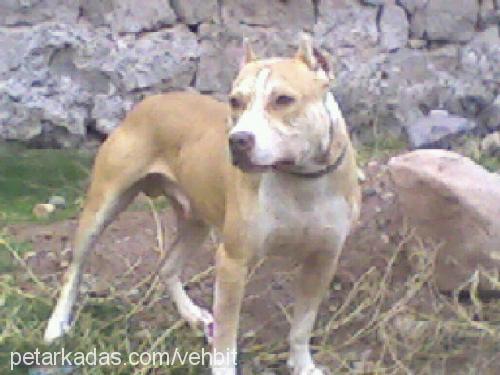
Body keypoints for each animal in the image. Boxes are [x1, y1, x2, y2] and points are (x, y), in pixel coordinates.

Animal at [44, 33, 360, 374]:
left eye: (284, 99)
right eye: (235, 101)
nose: (238, 140)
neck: (300, 180)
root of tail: (149, 101)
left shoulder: (323, 258)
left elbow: (302, 325)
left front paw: (302, 364)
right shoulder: (233, 262)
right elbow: (226, 333)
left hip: (195, 222)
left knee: (168, 267)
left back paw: (192, 315)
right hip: (101, 208)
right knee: (75, 269)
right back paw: (56, 326)